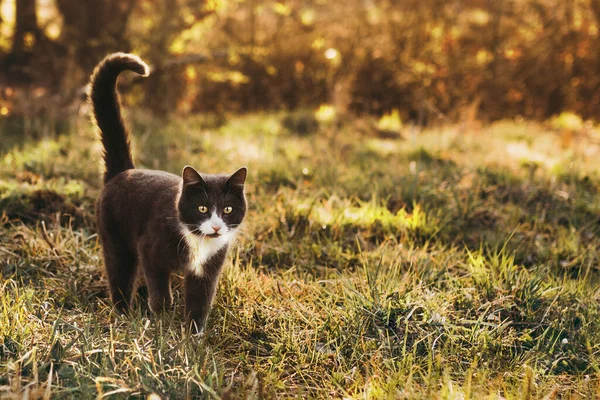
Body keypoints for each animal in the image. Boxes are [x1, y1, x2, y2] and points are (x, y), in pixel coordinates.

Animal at [89, 52, 248, 332]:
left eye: (228, 209)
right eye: (202, 208)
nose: (216, 226)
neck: (199, 242)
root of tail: (123, 171)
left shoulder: (208, 269)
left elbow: (199, 301)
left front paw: (193, 335)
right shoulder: (150, 249)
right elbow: (159, 289)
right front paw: (162, 320)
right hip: (116, 239)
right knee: (119, 276)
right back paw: (123, 314)